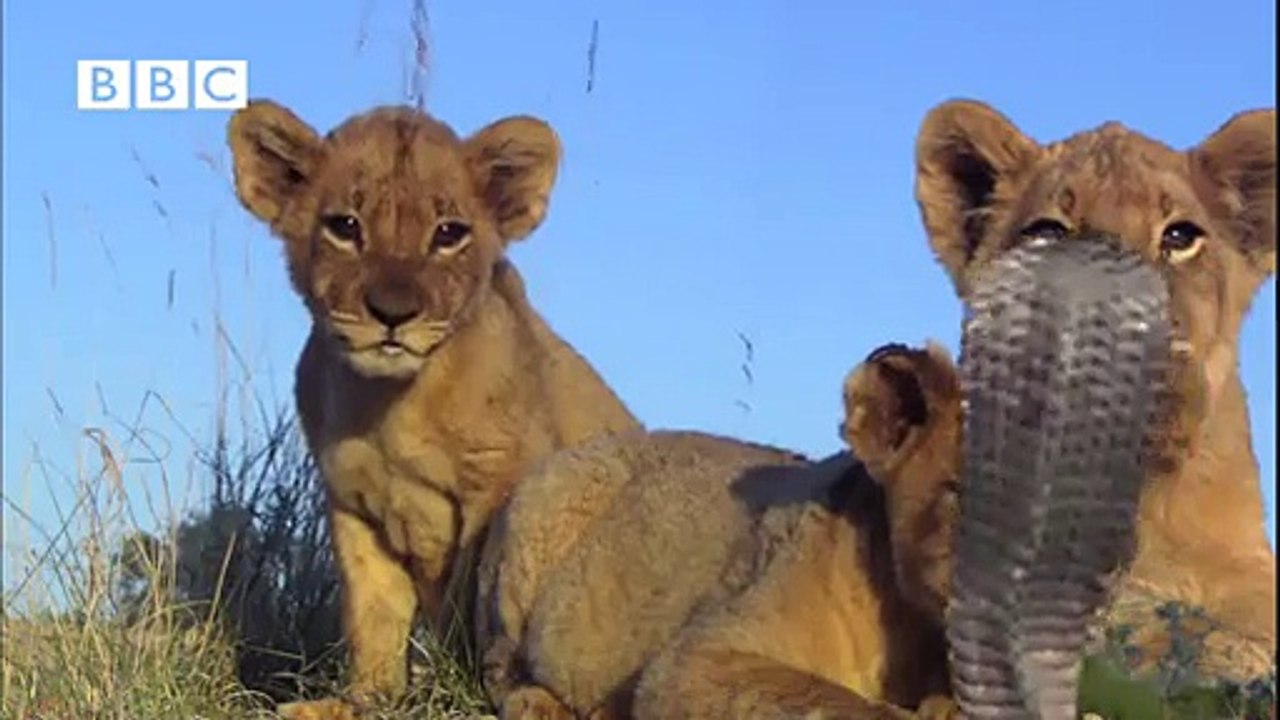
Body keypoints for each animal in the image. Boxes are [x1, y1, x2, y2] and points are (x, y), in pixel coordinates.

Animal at [225, 99, 641, 718]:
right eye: (345, 226)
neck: (389, 405)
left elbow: (475, 598)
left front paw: (453, 693)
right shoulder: (352, 506)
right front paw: (360, 700)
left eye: (449, 233)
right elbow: (371, 615)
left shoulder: (497, 488)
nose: (393, 312)